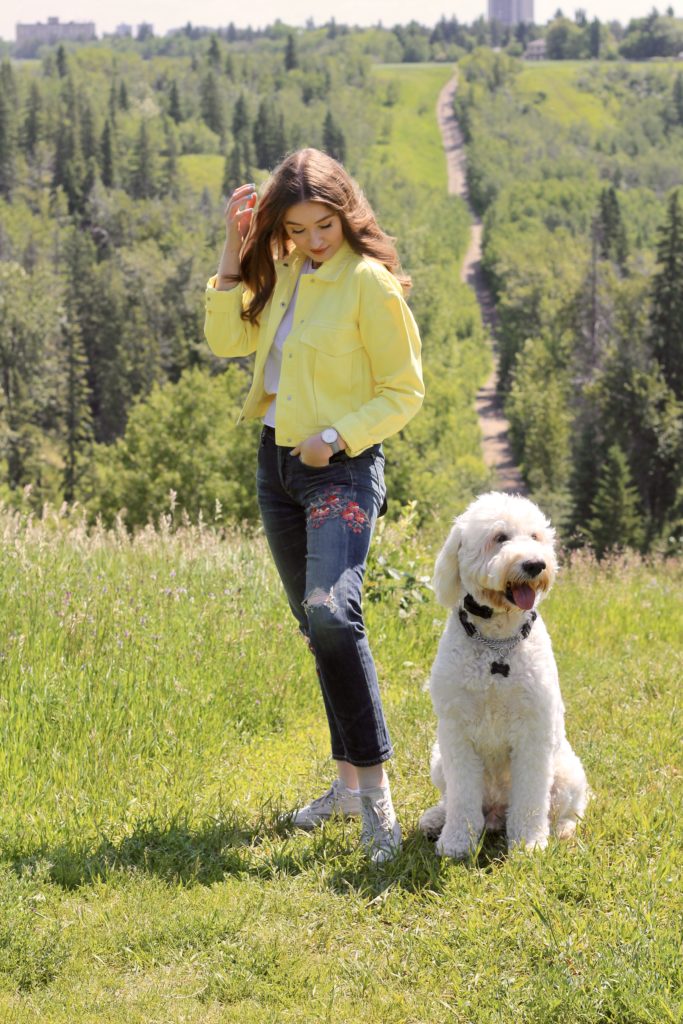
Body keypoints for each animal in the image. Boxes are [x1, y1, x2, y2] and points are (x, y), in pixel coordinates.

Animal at [419, 491, 589, 860]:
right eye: (500, 537)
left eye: (536, 537)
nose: (535, 565)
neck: (497, 643)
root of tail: (497, 812)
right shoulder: (456, 734)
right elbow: (462, 797)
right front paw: (457, 841)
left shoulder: (532, 735)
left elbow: (531, 798)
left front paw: (529, 842)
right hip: (439, 760)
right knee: (452, 798)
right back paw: (436, 819)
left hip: (568, 770)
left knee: (567, 809)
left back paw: (561, 830)